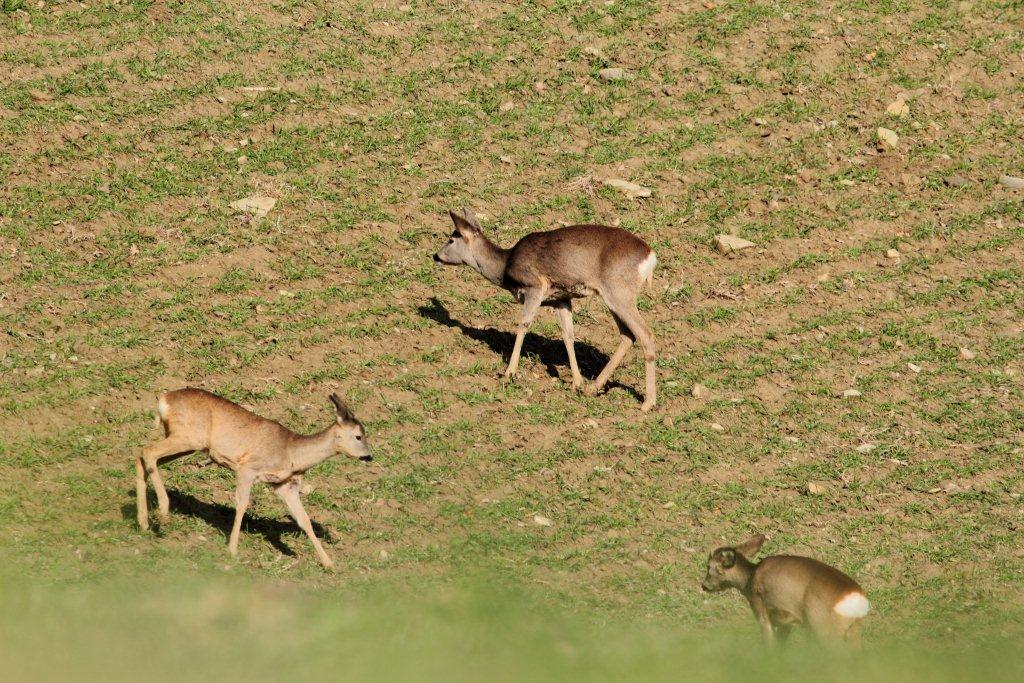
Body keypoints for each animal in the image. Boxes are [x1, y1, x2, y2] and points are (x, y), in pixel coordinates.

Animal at [134, 387, 370, 569]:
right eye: (359, 436)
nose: (369, 456)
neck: (292, 453)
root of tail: (164, 400)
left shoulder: (285, 485)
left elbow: (304, 520)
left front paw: (329, 563)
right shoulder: (247, 467)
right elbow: (241, 505)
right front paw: (232, 550)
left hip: (186, 441)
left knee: (142, 456)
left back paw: (143, 522)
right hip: (188, 436)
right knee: (148, 452)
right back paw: (163, 510)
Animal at [430, 208, 655, 411]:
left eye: (451, 239)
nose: (435, 255)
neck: (505, 268)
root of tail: (650, 256)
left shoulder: (534, 286)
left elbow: (523, 325)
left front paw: (509, 372)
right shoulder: (561, 299)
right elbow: (568, 335)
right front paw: (576, 382)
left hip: (619, 292)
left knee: (646, 334)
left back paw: (647, 404)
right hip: (614, 297)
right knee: (628, 335)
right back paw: (593, 388)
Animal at [700, 532, 868, 647]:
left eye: (709, 566)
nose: (704, 585)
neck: (749, 579)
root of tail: (857, 598)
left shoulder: (760, 608)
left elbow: (770, 644)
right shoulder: (787, 621)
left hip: (823, 625)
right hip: (854, 630)